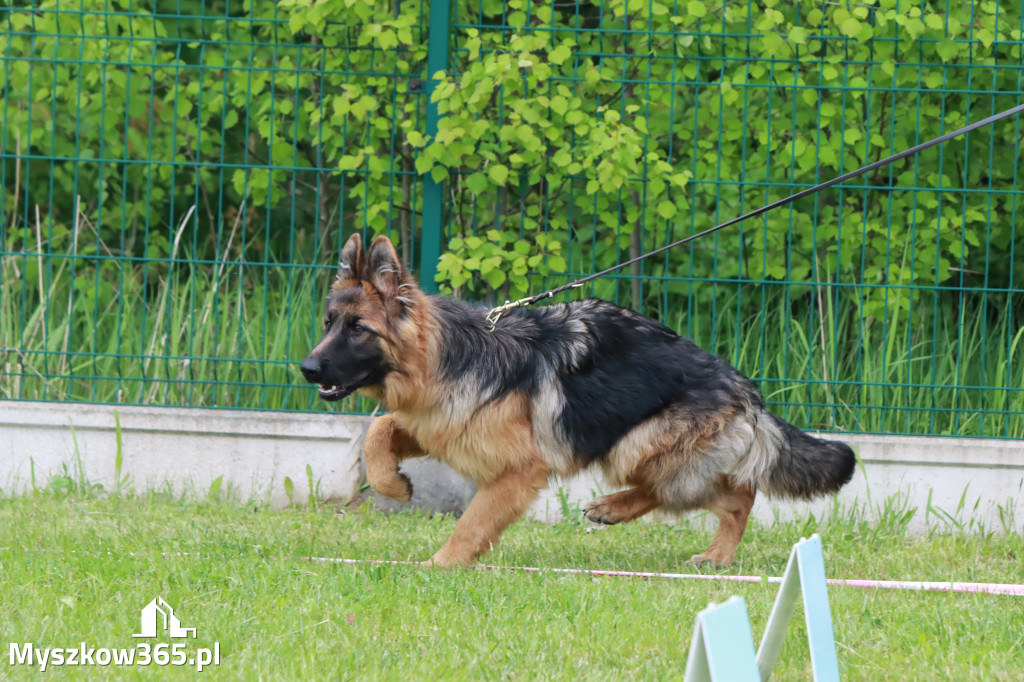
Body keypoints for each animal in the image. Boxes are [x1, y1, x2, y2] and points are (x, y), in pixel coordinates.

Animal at [299, 236, 856, 565]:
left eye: (359, 329)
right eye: (329, 323)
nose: (306, 369)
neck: (445, 357)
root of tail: (744, 387)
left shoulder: (518, 471)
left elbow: (473, 523)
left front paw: (441, 567)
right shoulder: (439, 424)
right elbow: (379, 431)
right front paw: (393, 485)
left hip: (635, 444)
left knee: (733, 494)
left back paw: (702, 549)